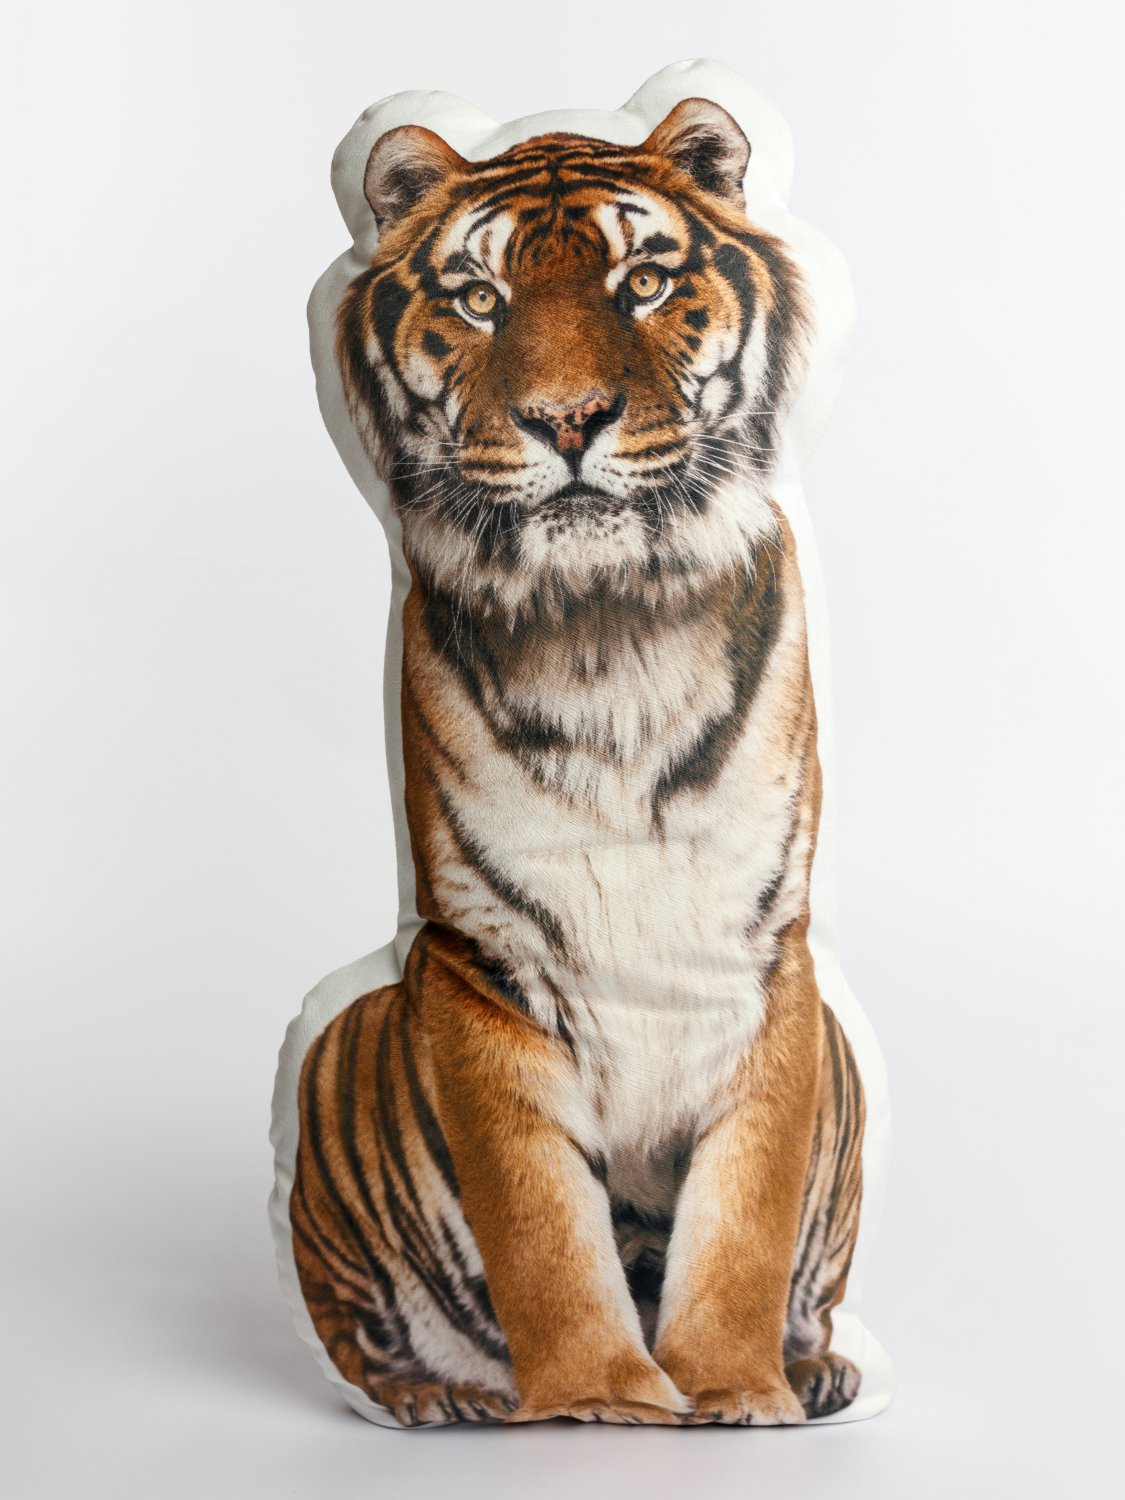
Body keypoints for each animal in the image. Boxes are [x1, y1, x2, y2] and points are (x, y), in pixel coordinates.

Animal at [291, 96, 866, 1427]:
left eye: (642, 282)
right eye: (478, 299)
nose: (566, 421)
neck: (612, 634)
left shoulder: (774, 956)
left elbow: (746, 1216)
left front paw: (734, 1391)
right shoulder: (478, 960)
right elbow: (542, 1227)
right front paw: (604, 1399)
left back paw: (817, 1369)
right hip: (340, 1044)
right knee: (350, 1324)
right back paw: (436, 1401)